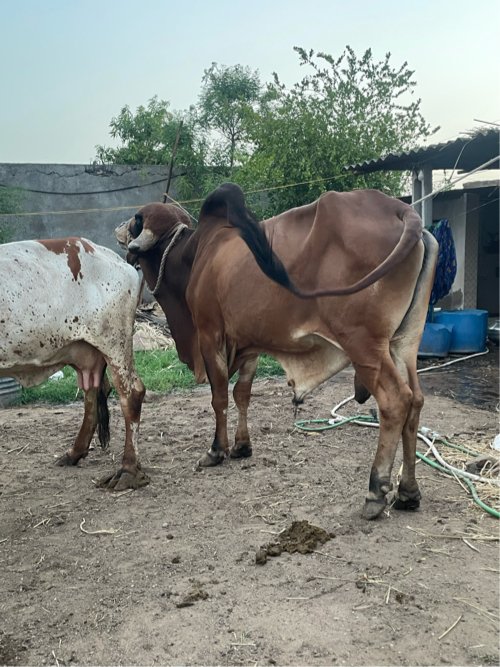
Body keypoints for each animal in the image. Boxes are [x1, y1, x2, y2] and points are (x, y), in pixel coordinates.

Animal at [0, 238, 147, 491]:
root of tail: (115, 258)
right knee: (93, 393)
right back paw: (74, 453)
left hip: (114, 342)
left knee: (131, 394)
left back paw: (127, 470)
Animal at [116, 184, 438, 519]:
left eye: (136, 219)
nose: (120, 230)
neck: (194, 255)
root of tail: (403, 210)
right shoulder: (247, 342)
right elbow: (242, 394)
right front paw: (242, 446)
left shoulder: (209, 333)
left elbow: (219, 397)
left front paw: (217, 450)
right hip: (404, 343)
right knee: (415, 401)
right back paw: (408, 492)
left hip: (364, 343)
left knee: (395, 401)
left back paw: (375, 491)